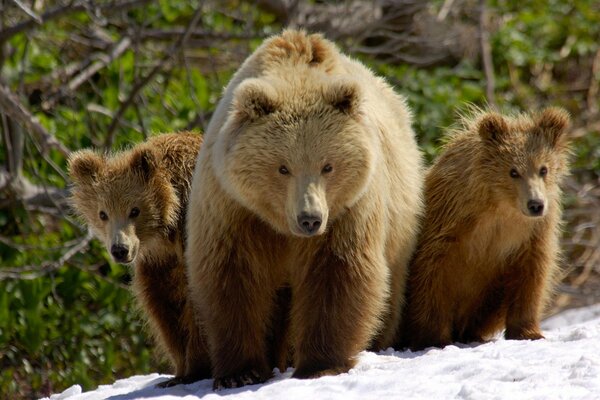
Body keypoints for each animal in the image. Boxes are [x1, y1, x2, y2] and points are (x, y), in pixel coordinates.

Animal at [66, 133, 209, 386]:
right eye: (103, 214)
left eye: (134, 210)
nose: (120, 250)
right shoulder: (158, 264)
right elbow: (163, 307)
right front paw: (178, 371)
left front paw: (196, 369)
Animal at [185, 28, 424, 390]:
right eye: (283, 168)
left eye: (328, 166)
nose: (309, 218)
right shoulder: (233, 208)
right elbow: (232, 277)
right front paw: (239, 372)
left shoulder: (348, 210)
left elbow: (338, 273)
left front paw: (321, 364)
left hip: (399, 218)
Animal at [400, 107, 568, 350]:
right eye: (513, 171)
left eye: (543, 169)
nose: (535, 204)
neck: (500, 207)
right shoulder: (449, 224)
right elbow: (431, 274)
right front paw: (433, 338)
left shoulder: (531, 234)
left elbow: (531, 275)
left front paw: (528, 332)